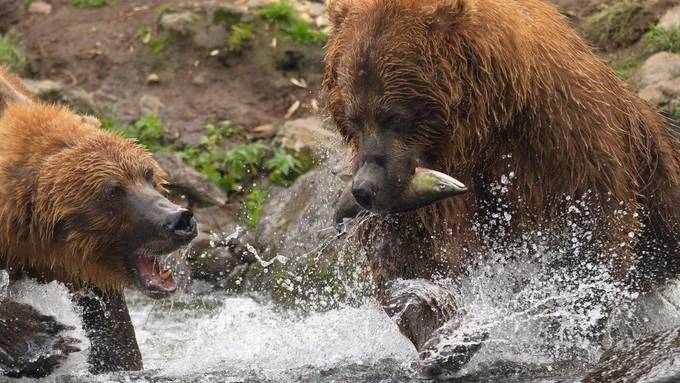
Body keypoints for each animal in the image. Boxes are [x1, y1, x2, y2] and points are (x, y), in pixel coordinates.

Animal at [0, 67, 197, 378]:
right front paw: (46, 339)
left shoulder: (77, 269)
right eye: (113, 191)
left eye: (148, 174)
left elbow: (111, 329)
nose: (179, 219)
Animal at [324, 0, 680, 368]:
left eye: (394, 116)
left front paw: (564, 324)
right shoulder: (428, 184)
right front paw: (446, 338)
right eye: (353, 117)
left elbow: (592, 226)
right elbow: (410, 254)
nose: (364, 189)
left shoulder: (563, 140)